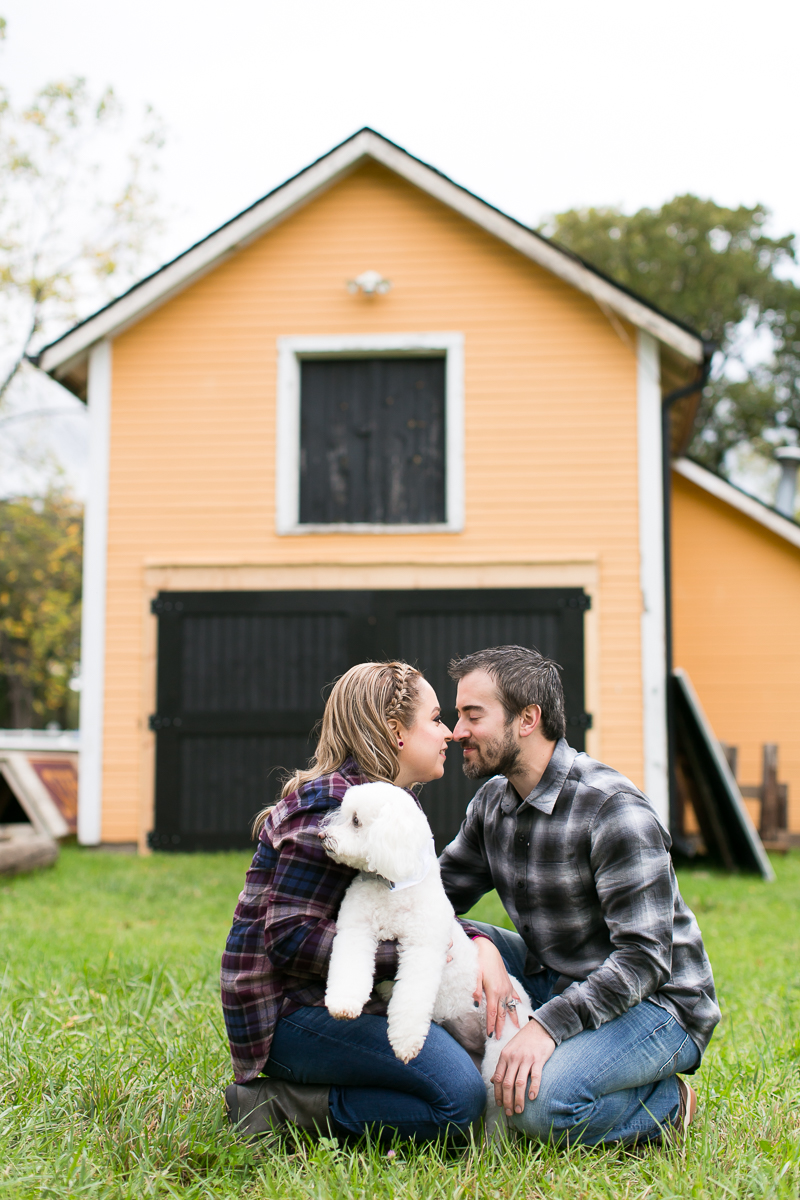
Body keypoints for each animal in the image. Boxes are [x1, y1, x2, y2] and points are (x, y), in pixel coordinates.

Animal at [316, 782, 532, 1108]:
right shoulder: (355, 929)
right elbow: (350, 967)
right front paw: (344, 1004)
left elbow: (410, 999)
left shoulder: (423, 950)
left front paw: (405, 1042)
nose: (323, 836)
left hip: (499, 1058)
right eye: (345, 815)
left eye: (356, 821)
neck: (391, 886)